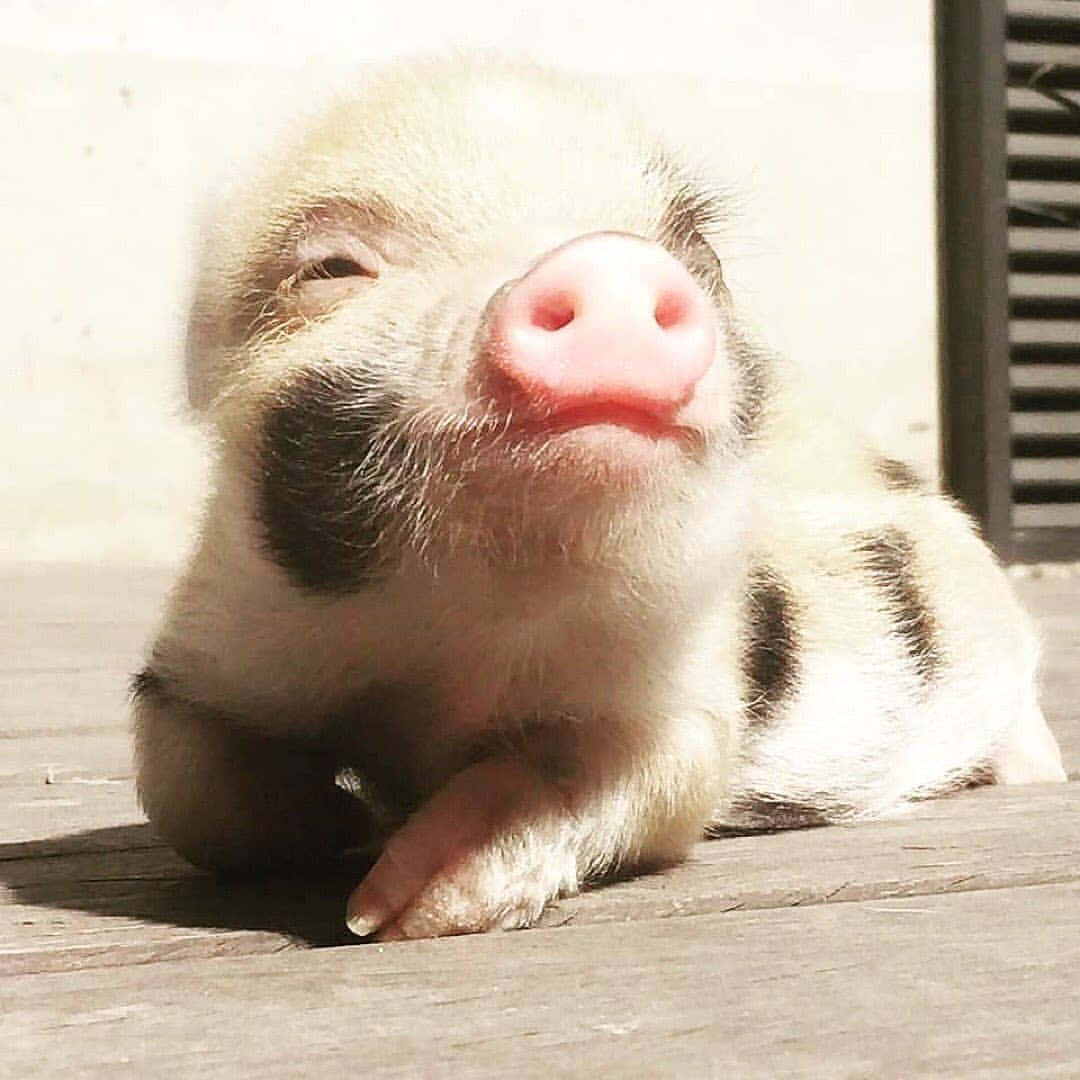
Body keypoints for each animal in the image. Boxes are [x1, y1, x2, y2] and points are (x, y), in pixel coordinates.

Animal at [132, 56, 1066, 941]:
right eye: (330, 268)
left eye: (694, 254)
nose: (609, 258)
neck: (459, 644)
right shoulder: (215, 637)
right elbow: (182, 788)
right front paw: (344, 828)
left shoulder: (687, 695)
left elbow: (630, 775)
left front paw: (396, 909)